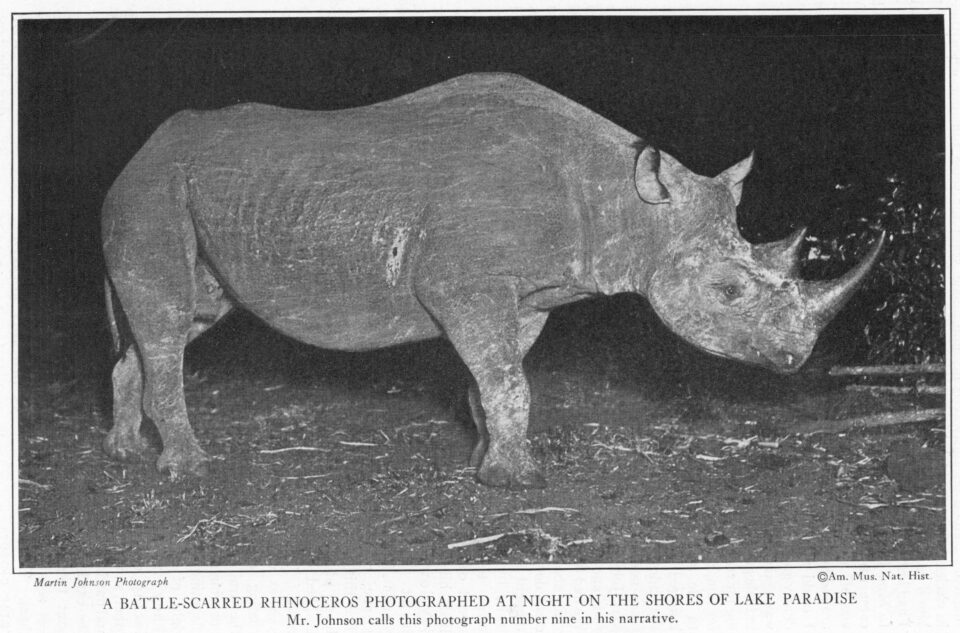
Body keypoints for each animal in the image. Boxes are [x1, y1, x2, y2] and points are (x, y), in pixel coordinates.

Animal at [102, 72, 882, 488]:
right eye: (728, 292)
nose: (795, 359)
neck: (625, 203)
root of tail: (135, 154)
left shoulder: (524, 294)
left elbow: (496, 376)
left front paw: (484, 462)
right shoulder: (462, 284)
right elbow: (508, 377)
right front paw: (518, 481)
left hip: (188, 197)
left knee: (179, 320)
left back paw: (126, 453)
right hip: (152, 193)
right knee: (166, 322)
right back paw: (188, 469)